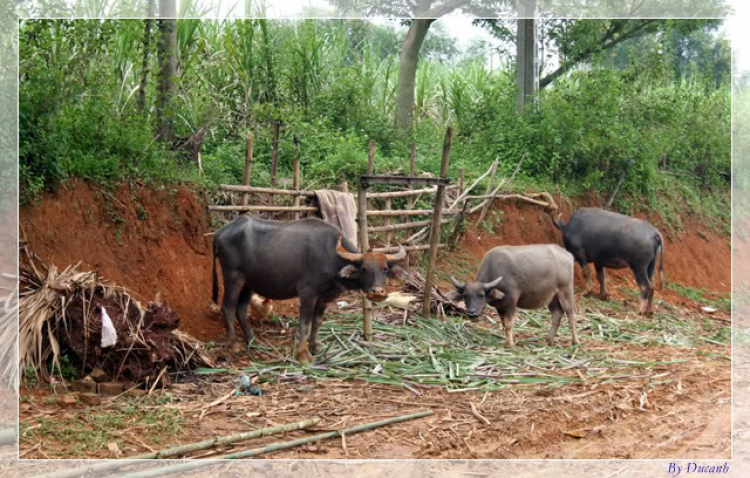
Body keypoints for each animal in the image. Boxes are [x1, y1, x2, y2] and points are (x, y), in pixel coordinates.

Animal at [212, 217, 406, 362]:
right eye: (364, 269)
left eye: (385, 269)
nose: (378, 293)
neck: (331, 257)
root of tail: (219, 233)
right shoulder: (307, 294)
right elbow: (304, 323)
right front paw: (303, 355)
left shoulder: (323, 297)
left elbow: (317, 322)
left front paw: (315, 347)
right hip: (233, 276)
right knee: (228, 307)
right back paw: (234, 345)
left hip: (249, 283)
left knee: (241, 309)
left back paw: (252, 340)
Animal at [446, 246, 580, 348]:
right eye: (465, 296)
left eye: (481, 295)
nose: (472, 313)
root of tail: (568, 255)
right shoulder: (500, 307)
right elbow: (504, 323)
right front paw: (509, 340)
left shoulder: (511, 301)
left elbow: (509, 323)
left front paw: (510, 344)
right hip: (552, 296)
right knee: (557, 314)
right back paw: (549, 340)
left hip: (566, 290)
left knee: (571, 315)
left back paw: (575, 341)